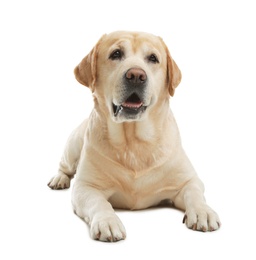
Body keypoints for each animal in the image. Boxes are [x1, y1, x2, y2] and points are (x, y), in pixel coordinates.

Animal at [47, 30, 220, 242]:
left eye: (153, 58)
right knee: (64, 167)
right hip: (72, 146)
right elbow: (99, 203)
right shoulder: (85, 187)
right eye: (116, 54)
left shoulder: (188, 180)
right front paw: (108, 222)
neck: (133, 142)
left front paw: (204, 212)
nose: (136, 75)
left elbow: (194, 193)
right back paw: (59, 179)